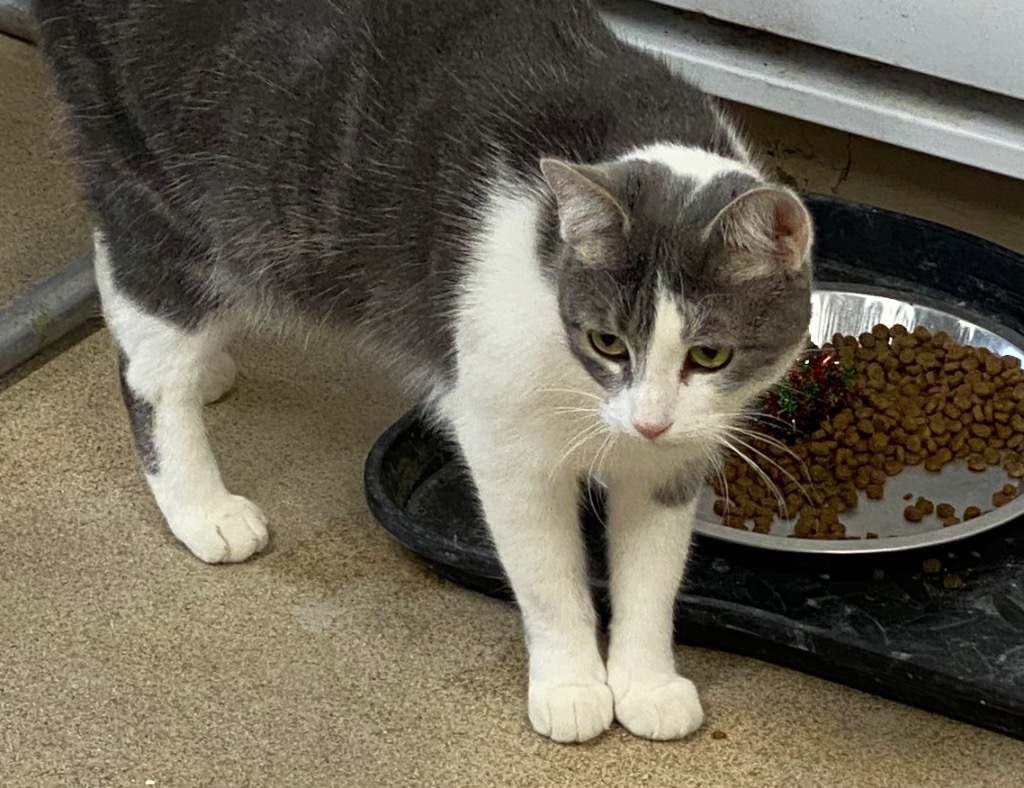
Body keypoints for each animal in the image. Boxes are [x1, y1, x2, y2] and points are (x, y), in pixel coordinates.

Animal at [37, 0, 806, 740]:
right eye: (608, 341)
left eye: (710, 355)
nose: (649, 421)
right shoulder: (504, 440)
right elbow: (549, 576)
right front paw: (571, 686)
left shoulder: (672, 458)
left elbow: (651, 575)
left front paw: (645, 684)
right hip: (152, 179)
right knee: (150, 353)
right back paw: (200, 503)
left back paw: (211, 367)